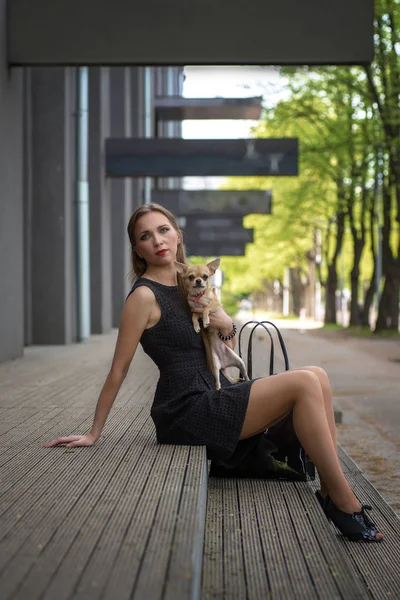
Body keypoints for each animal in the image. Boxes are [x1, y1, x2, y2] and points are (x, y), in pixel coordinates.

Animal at [174, 256, 248, 390]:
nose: (198, 281)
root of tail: (224, 365)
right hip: (215, 367)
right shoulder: (195, 310)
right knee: (218, 383)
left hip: (241, 363)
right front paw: (197, 326)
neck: (199, 296)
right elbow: (194, 316)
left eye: (205, 276)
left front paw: (206, 320)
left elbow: (206, 308)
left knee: (246, 375)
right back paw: (218, 389)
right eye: (191, 277)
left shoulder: (216, 305)